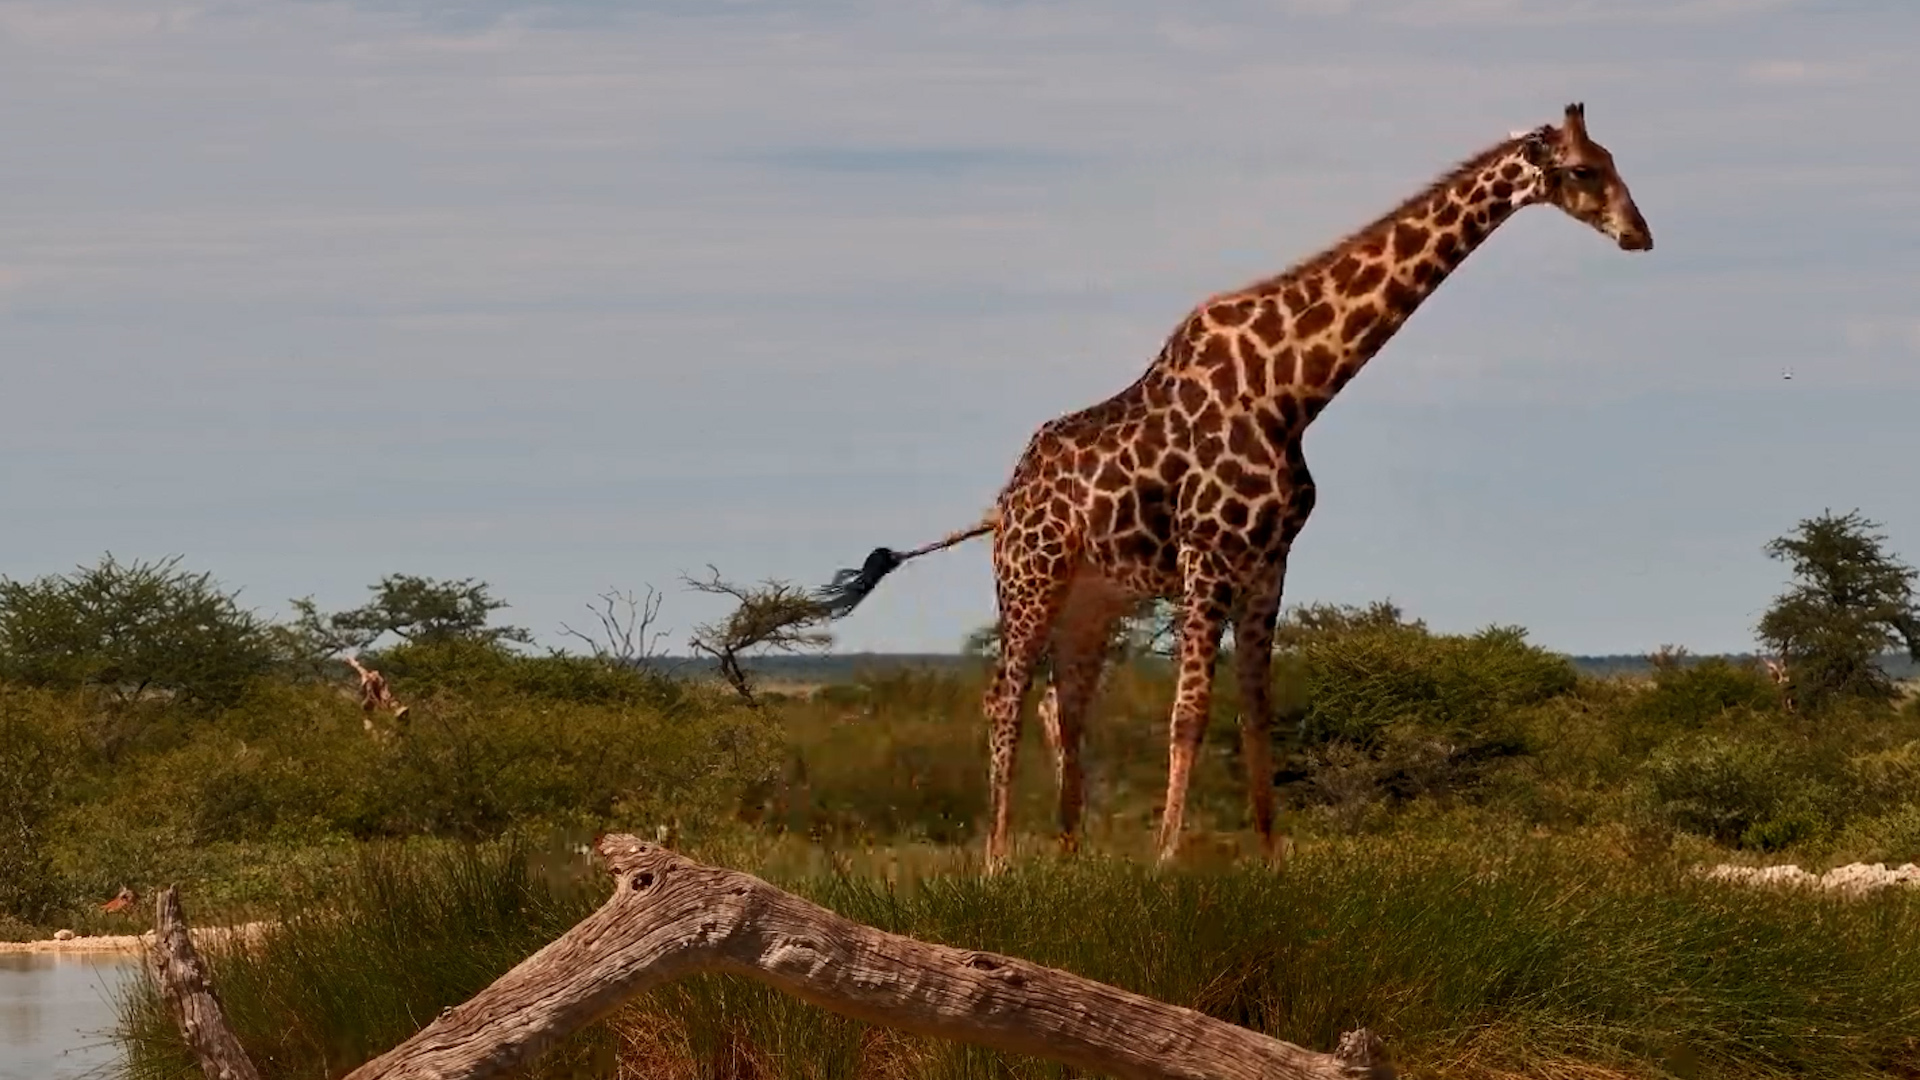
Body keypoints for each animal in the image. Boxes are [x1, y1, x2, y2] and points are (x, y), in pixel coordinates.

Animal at [816, 103, 1653, 870]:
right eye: (1585, 171)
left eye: (1613, 161)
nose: (1638, 235)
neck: (1293, 392)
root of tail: (1001, 504)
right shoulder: (1209, 556)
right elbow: (1190, 713)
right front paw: (1164, 863)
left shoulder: (1270, 563)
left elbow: (1255, 712)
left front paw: (1272, 860)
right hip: (1030, 577)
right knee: (1005, 696)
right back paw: (996, 863)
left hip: (1094, 599)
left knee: (1067, 703)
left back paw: (1070, 857)